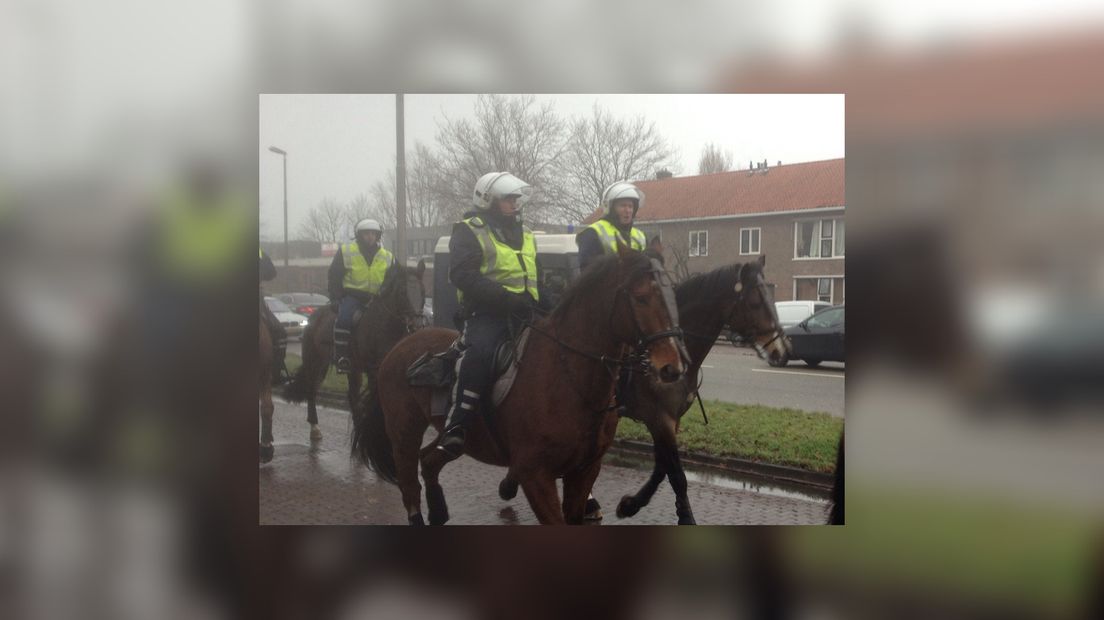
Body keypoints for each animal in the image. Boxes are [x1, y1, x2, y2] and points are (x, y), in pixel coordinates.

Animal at [282, 260, 423, 439]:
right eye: (403, 292)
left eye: (423, 291)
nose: (417, 326)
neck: (384, 325)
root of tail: (314, 317)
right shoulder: (373, 370)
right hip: (315, 363)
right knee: (312, 390)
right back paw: (315, 428)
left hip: (348, 368)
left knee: (351, 395)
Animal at [348, 243, 684, 522]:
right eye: (641, 298)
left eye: (672, 295)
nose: (672, 367)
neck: (569, 379)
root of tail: (399, 347)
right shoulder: (536, 475)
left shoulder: (584, 471)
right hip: (403, 431)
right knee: (409, 487)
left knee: (429, 461)